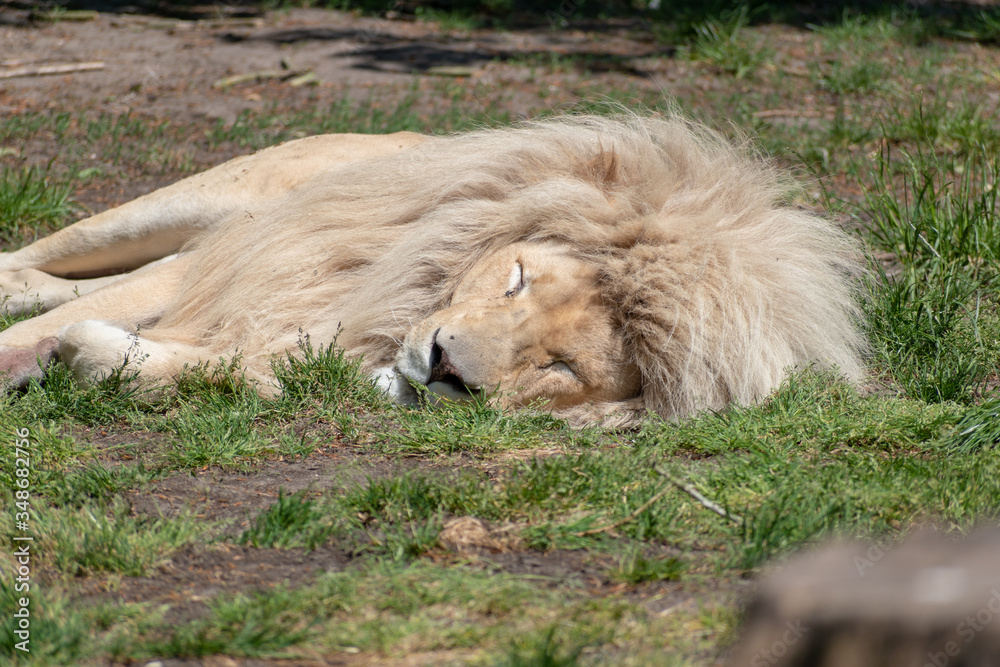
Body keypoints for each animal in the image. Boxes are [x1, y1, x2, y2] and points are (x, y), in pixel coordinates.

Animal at [0, 113, 868, 428]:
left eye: (561, 367)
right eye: (515, 278)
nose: (447, 364)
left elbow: (225, 369)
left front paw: (95, 357)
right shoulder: (232, 267)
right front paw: (39, 354)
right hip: (201, 203)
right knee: (35, 259)